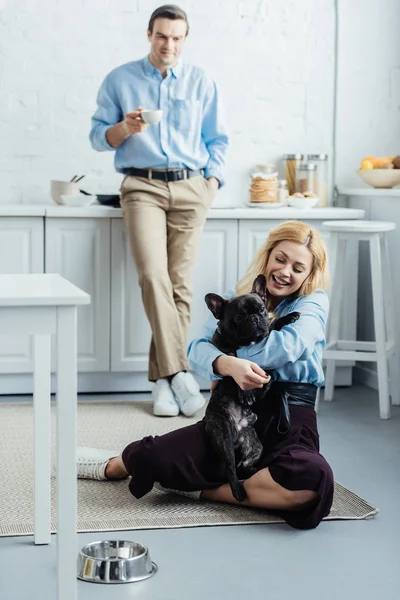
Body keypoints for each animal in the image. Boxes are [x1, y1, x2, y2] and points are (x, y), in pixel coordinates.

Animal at [203, 276, 300, 502]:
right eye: (239, 316)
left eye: (262, 309)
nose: (254, 318)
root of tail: (238, 432)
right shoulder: (223, 350)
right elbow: (237, 361)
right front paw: (245, 391)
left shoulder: (265, 336)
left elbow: (272, 328)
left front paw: (287, 318)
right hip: (223, 435)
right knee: (230, 467)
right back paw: (237, 490)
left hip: (255, 444)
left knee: (244, 465)